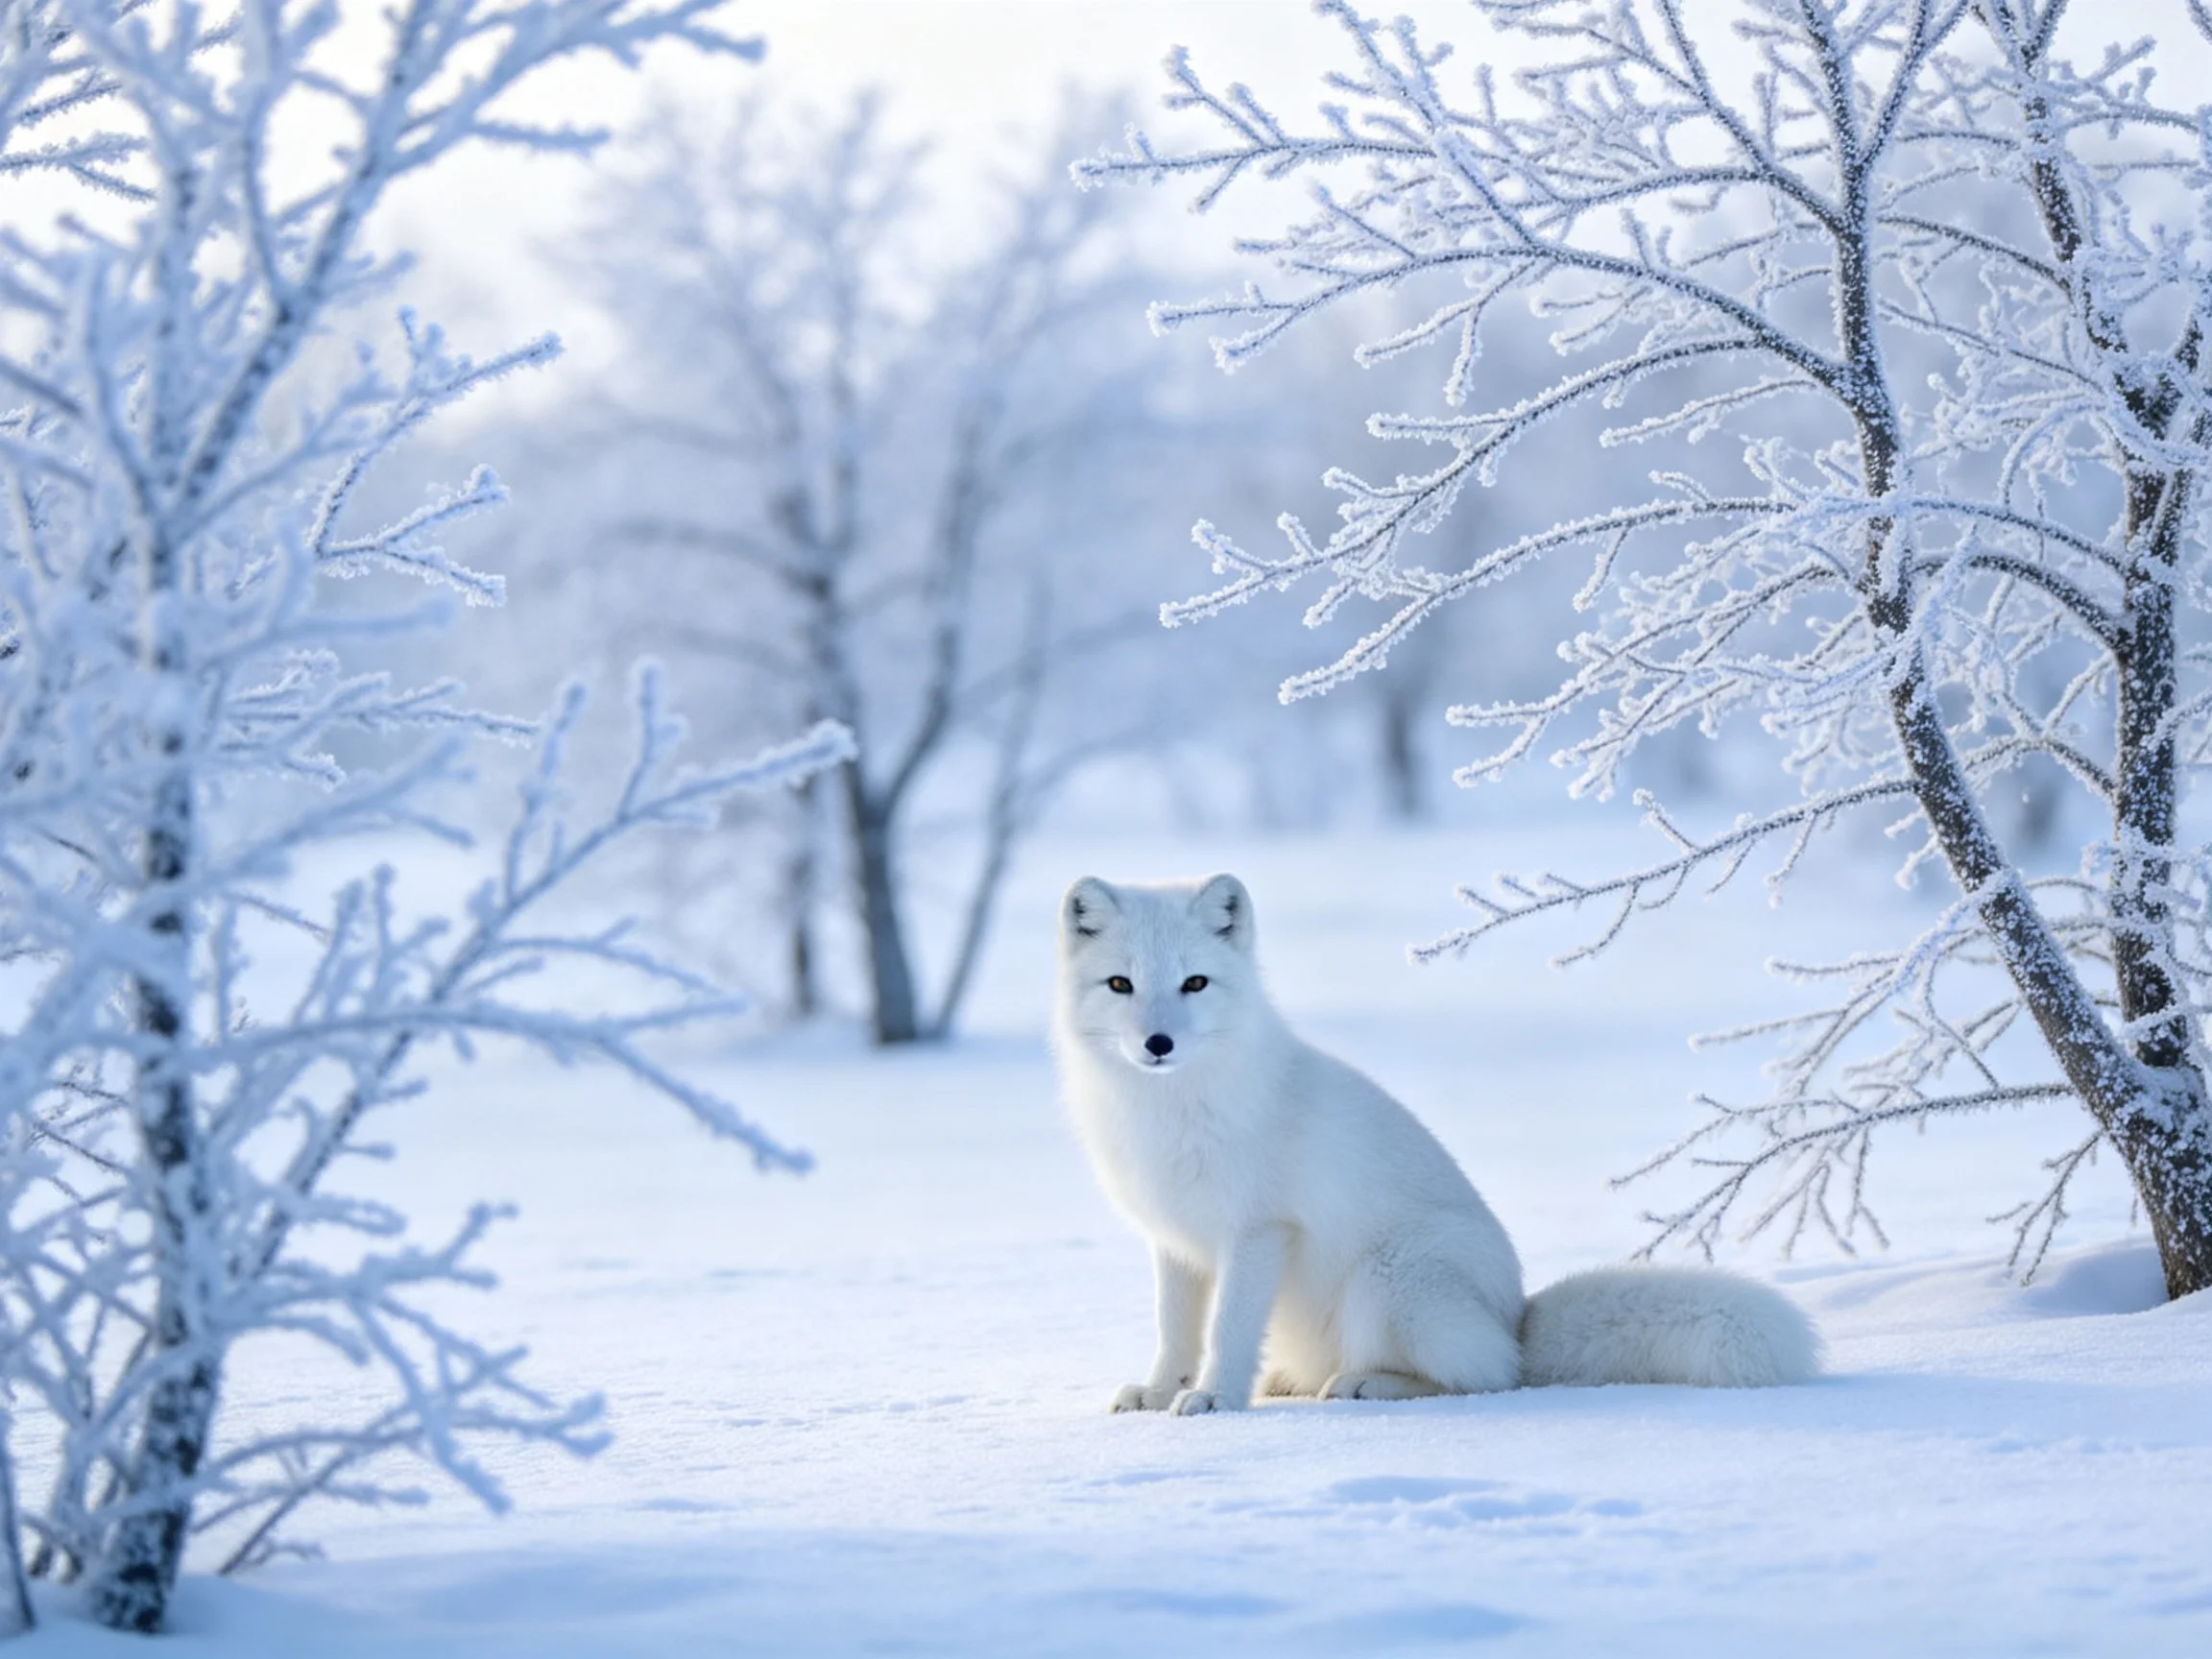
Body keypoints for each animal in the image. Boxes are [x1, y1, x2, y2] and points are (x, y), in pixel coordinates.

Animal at [1053, 872, 1820, 1415]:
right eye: (1120, 983)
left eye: (1195, 982)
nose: (1158, 1043)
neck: (1169, 1110)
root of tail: (1518, 1319)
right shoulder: (1176, 1242)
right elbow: (1174, 1329)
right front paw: (1160, 1391)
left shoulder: (1259, 1230)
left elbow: (1228, 1330)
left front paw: (1215, 1395)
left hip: (1390, 1279)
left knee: (1485, 1378)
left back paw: (1366, 1385)